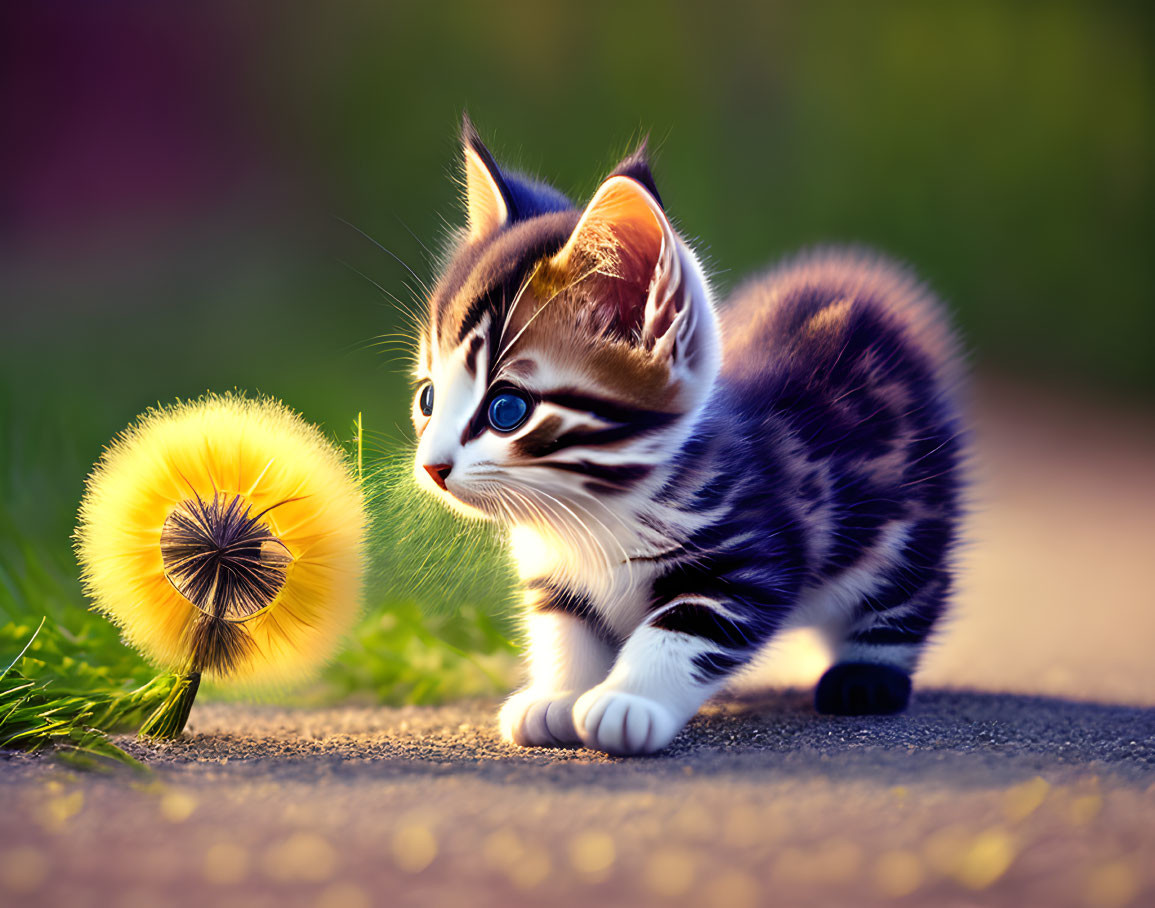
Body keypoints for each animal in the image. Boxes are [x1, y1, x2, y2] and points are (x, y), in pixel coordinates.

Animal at [408, 120, 965, 757]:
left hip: (904, 522)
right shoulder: (555, 576)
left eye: (507, 410)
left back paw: (866, 675)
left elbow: (682, 630)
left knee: (908, 591)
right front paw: (558, 696)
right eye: (428, 399)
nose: (432, 467)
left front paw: (628, 703)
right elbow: (564, 630)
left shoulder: (750, 552)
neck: (593, 515)